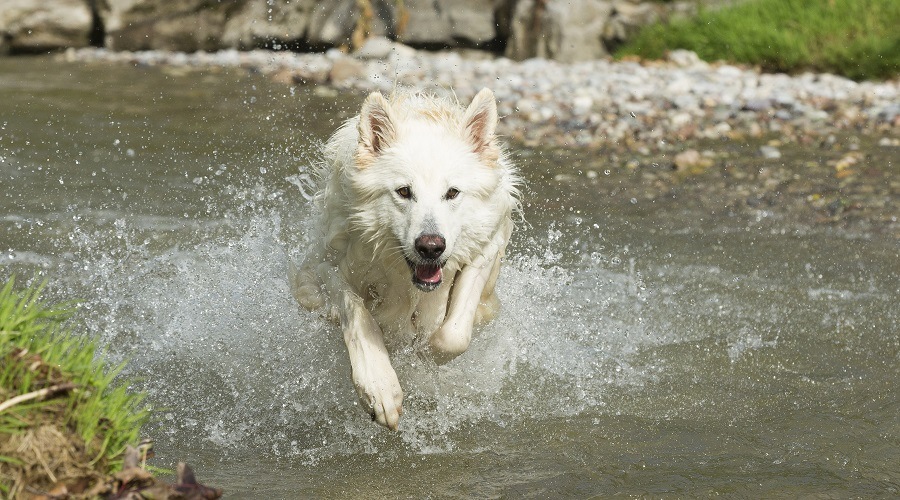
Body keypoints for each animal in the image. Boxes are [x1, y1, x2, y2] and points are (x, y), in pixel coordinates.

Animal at [294, 89, 520, 430]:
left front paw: (425, 355)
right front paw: (379, 387)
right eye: (403, 191)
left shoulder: (485, 248)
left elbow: (453, 334)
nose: (431, 247)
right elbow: (357, 315)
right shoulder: (326, 265)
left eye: (452, 193)